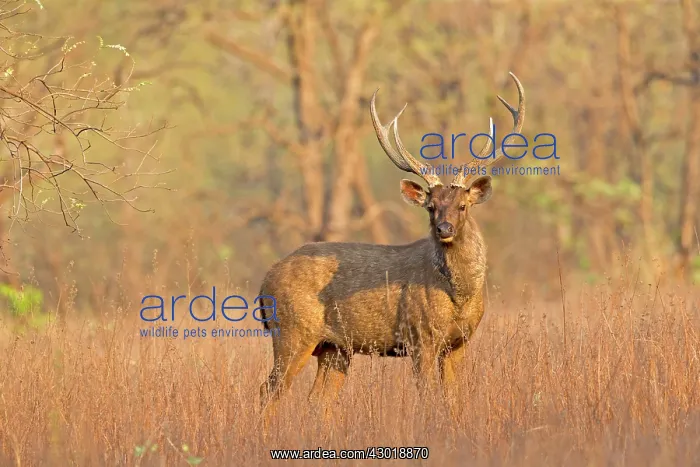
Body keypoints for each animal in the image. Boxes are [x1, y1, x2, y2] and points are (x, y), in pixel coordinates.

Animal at [258, 72, 525, 426]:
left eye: (463, 205)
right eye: (430, 207)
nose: (444, 229)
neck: (460, 296)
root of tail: (264, 282)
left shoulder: (458, 343)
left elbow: (453, 400)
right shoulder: (420, 337)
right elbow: (428, 399)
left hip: (334, 347)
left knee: (317, 400)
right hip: (291, 332)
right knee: (268, 391)